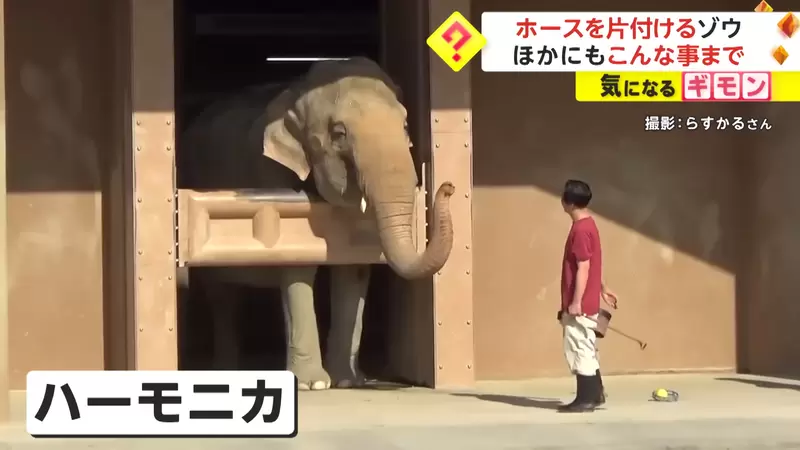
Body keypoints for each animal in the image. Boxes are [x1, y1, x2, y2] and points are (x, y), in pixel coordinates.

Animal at [180, 57, 455, 390]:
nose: (448, 187)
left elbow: (354, 267)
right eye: (339, 134)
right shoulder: (271, 172)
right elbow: (298, 264)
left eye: (404, 125)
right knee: (221, 297)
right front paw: (313, 384)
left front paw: (348, 381)